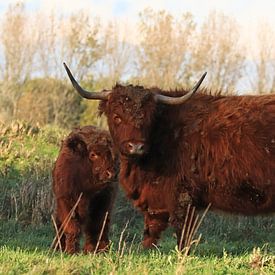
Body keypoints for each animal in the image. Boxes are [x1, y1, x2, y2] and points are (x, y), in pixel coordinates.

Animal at [52, 126, 117, 256]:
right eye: (93, 154)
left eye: (113, 155)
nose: (111, 174)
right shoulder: (66, 202)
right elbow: (72, 226)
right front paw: (71, 251)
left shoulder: (103, 203)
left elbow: (97, 227)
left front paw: (95, 251)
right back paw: (58, 247)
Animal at [64, 63, 275, 250]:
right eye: (117, 117)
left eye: (148, 118)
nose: (136, 146)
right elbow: (152, 228)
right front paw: (146, 250)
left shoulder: (183, 195)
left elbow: (182, 230)